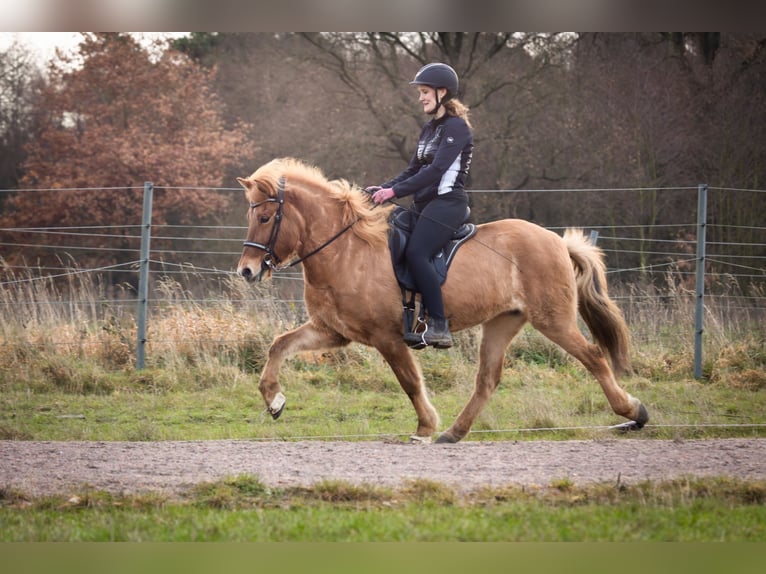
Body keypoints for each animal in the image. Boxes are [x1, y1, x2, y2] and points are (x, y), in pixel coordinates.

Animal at [236, 157, 649, 443]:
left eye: (267, 217)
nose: (247, 271)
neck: (346, 251)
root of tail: (557, 242)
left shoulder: (387, 337)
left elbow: (409, 381)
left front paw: (423, 427)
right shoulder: (333, 332)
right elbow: (279, 346)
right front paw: (274, 401)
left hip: (553, 319)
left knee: (593, 357)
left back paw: (634, 412)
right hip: (503, 321)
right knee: (488, 378)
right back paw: (454, 432)